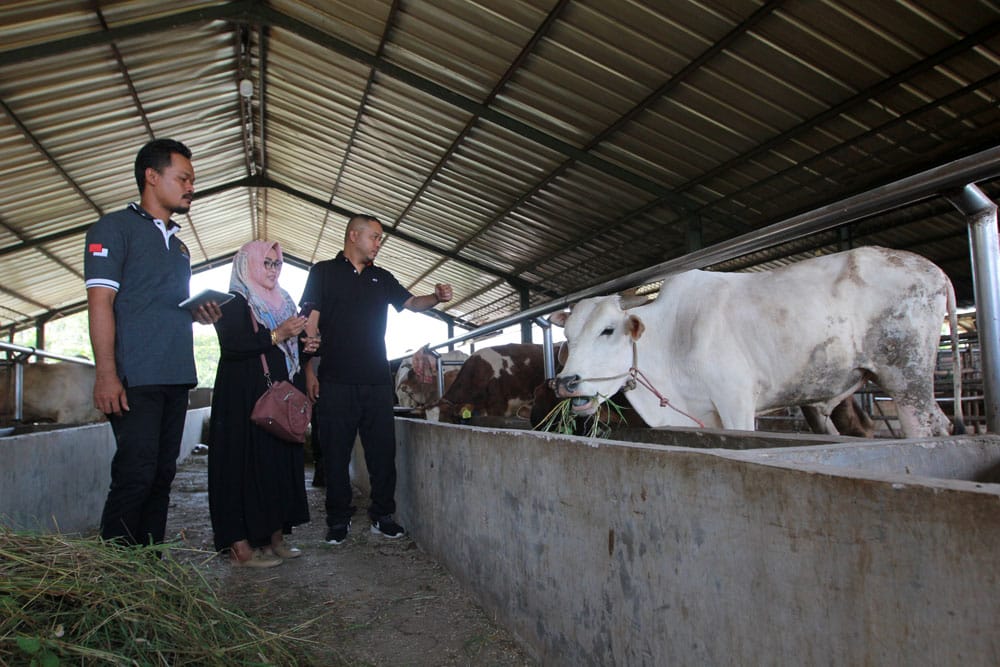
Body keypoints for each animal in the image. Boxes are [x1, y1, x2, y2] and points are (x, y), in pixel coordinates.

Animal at [552, 245, 964, 438]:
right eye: (568, 337)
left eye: (608, 329)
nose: (566, 381)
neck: (672, 338)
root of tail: (934, 270)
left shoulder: (736, 402)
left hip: (907, 378)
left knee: (927, 428)